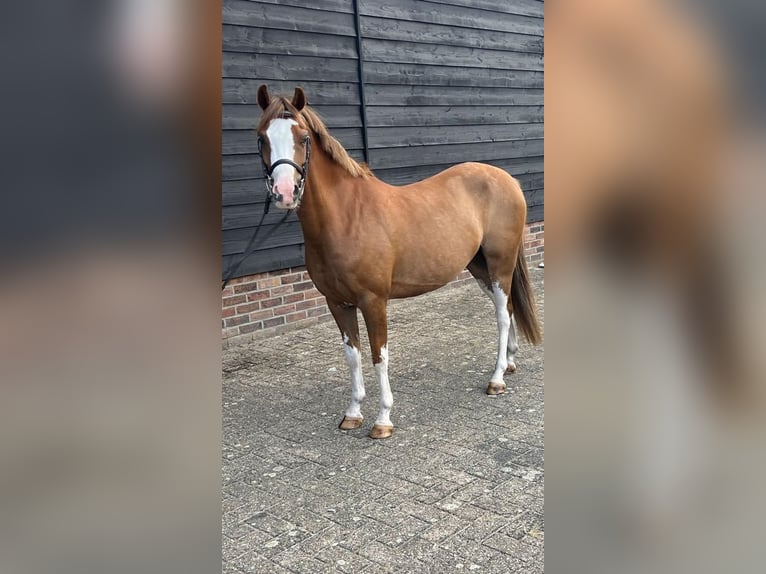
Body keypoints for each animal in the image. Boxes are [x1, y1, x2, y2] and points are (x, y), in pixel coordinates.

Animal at [255, 83, 544, 438]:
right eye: (261, 137)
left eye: (304, 137)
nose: (285, 192)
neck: (347, 217)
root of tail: (507, 180)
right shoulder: (337, 303)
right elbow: (353, 356)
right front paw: (353, 413)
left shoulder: (373, 301)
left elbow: (379, 356)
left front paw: (383, 420)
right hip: (480, 268)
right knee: (510, 308)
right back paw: (511, 362)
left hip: (500, 263)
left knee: (502, 315)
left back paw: (497, 378)